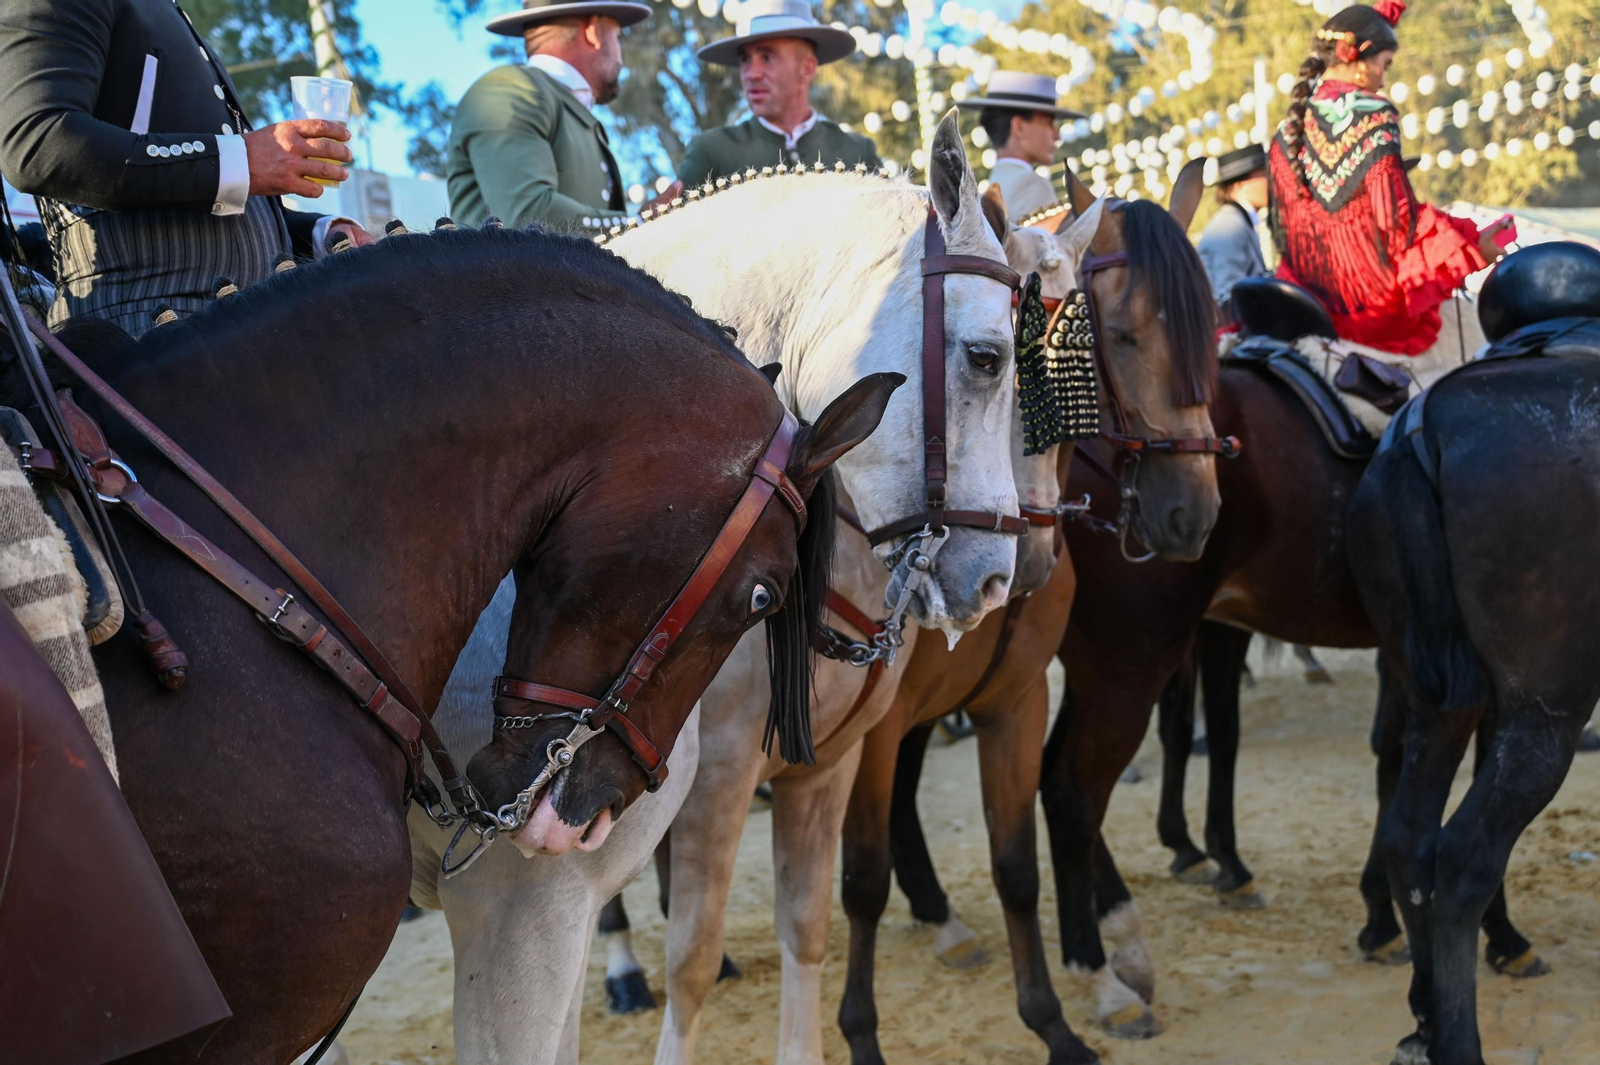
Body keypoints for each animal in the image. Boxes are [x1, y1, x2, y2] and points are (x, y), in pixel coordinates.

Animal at [401, 113, 1028, 1065]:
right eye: (989, 357)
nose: (995, 579)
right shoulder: (558, 882)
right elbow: (691, 955)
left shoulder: (823, 768)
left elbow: (808, 925)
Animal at [837, 166, 1227, 1065]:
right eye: (1120, 336)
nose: (1192, 514)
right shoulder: (880, 722)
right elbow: (863, 877)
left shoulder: (1013, 694)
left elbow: (1020, 852)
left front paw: (1080, 996)